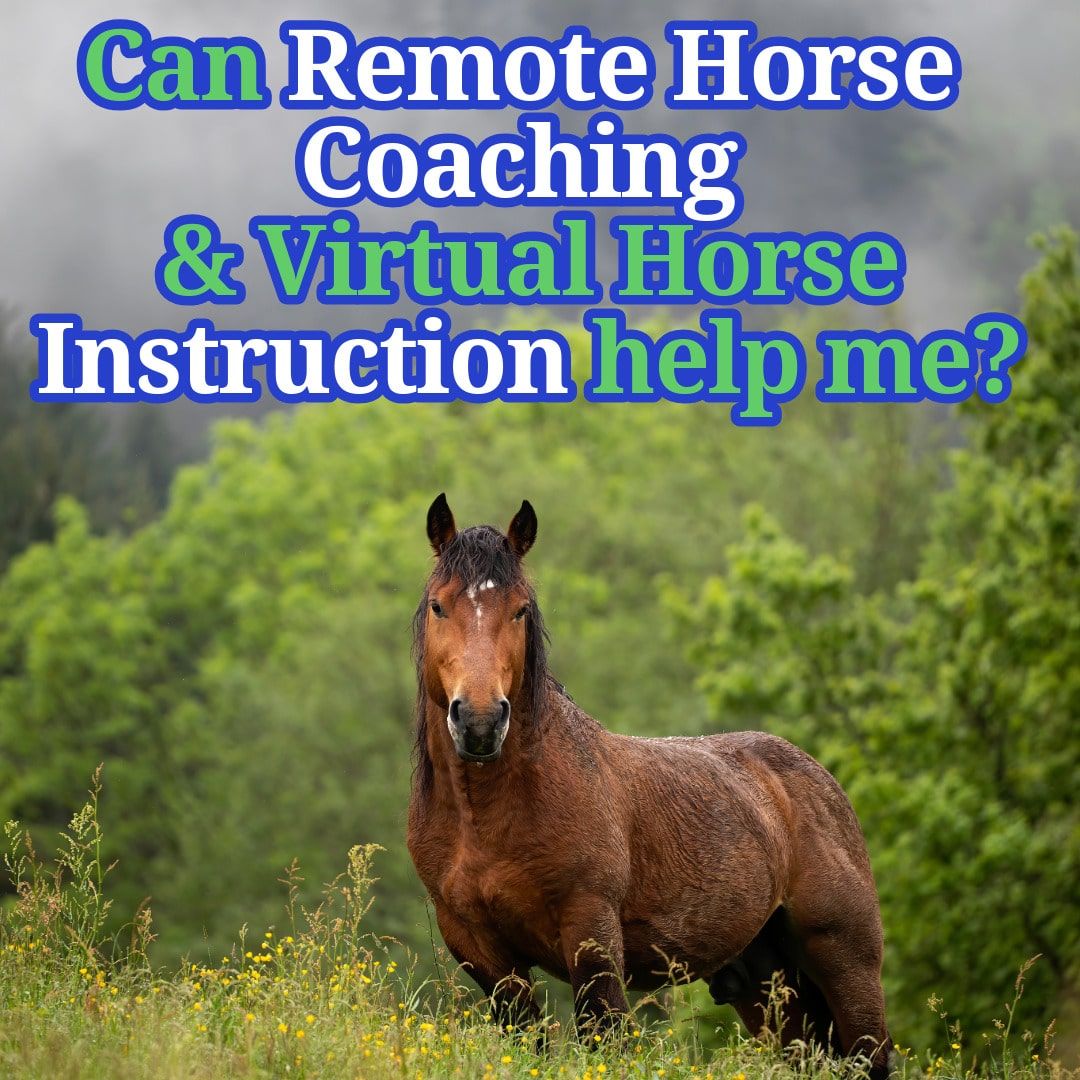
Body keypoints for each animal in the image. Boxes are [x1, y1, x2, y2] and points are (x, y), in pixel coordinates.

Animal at [406, 494, 892, 1077]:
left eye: (520, 609)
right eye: (439, 606)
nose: (479, 722)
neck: (487, 818)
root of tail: (821, 783)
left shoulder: (590, 932)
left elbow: (603, 1035)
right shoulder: (480, 948)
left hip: (847, 965)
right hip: (769, 987)